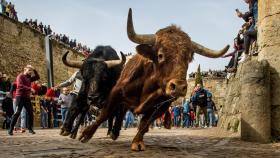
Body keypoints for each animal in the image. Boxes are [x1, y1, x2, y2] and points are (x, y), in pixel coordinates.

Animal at [79, 8, 230, 151]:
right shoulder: (116, 92)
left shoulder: (162, 106)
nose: (179, 87)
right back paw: (113, 132)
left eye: (188, 58)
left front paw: (137, 142)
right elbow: (104, 114)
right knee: (119, 113)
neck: (149, 87)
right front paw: (86, 134)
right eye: (160, 55)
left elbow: (145, 124)